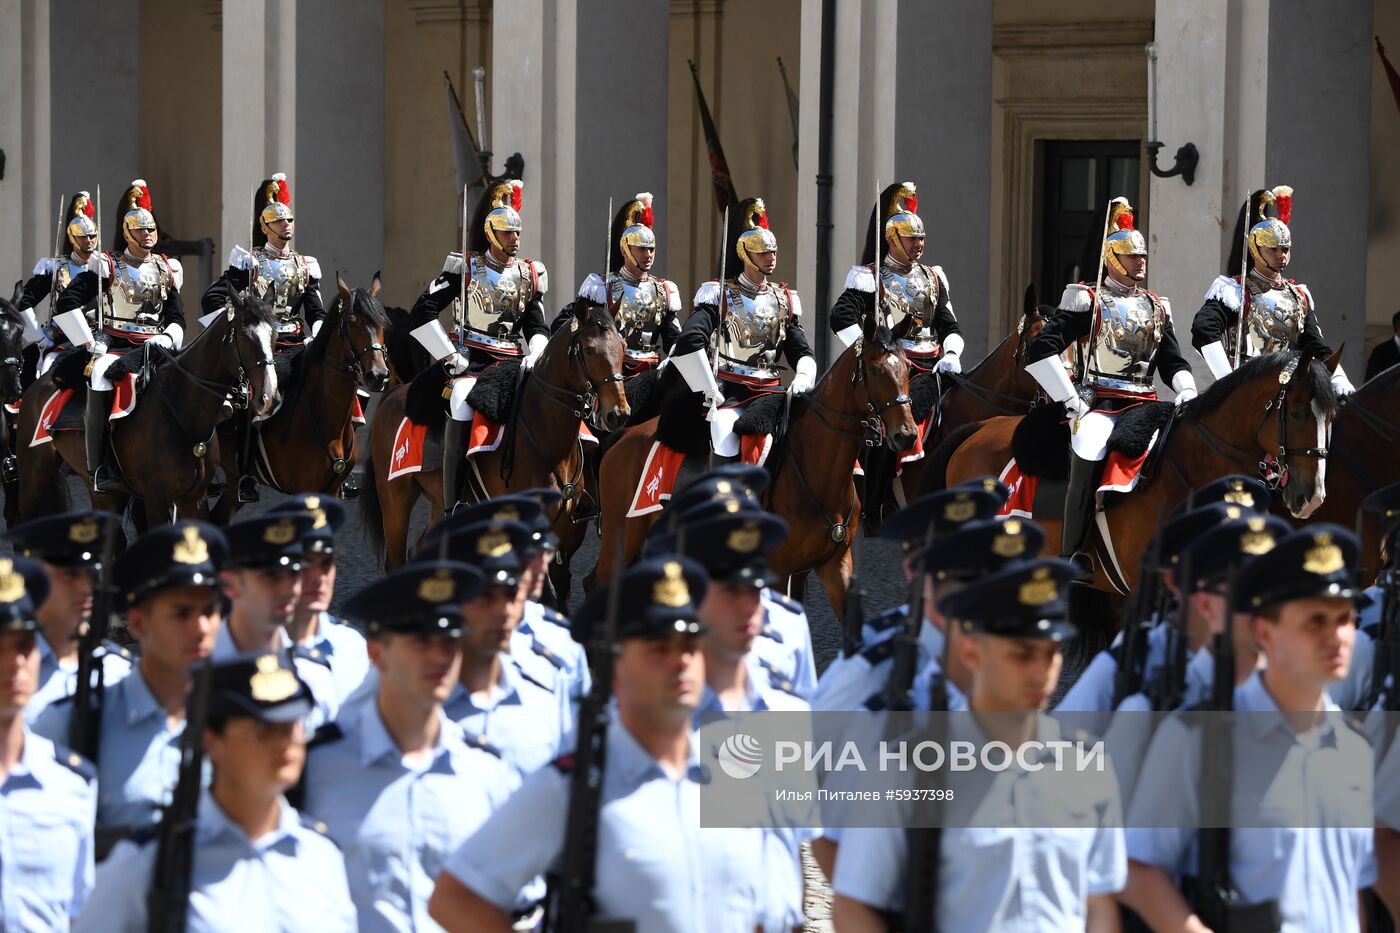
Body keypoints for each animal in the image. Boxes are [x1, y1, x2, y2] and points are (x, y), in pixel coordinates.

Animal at [15, 287, 278, 526]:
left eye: (274, 336)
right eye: (244, 337)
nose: (269, 398)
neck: (181, 406)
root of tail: (42, 381)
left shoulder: (194, 499)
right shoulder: (156, 498)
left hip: (104, 492)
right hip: (33, 475)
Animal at [361, 298, 630, 588]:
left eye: (623, 347)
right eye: (589, 350)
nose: (618, 414)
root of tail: (393, 395)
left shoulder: (565, 534)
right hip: (395, 500)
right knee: (397, 560)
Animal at [590, 313, 918, 616]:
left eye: (907, 368)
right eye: (874, 370)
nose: (906, 435)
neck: (818, 471)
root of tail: (626, 435)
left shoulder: (835, 565)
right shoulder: (779, 570)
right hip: (622, 536)